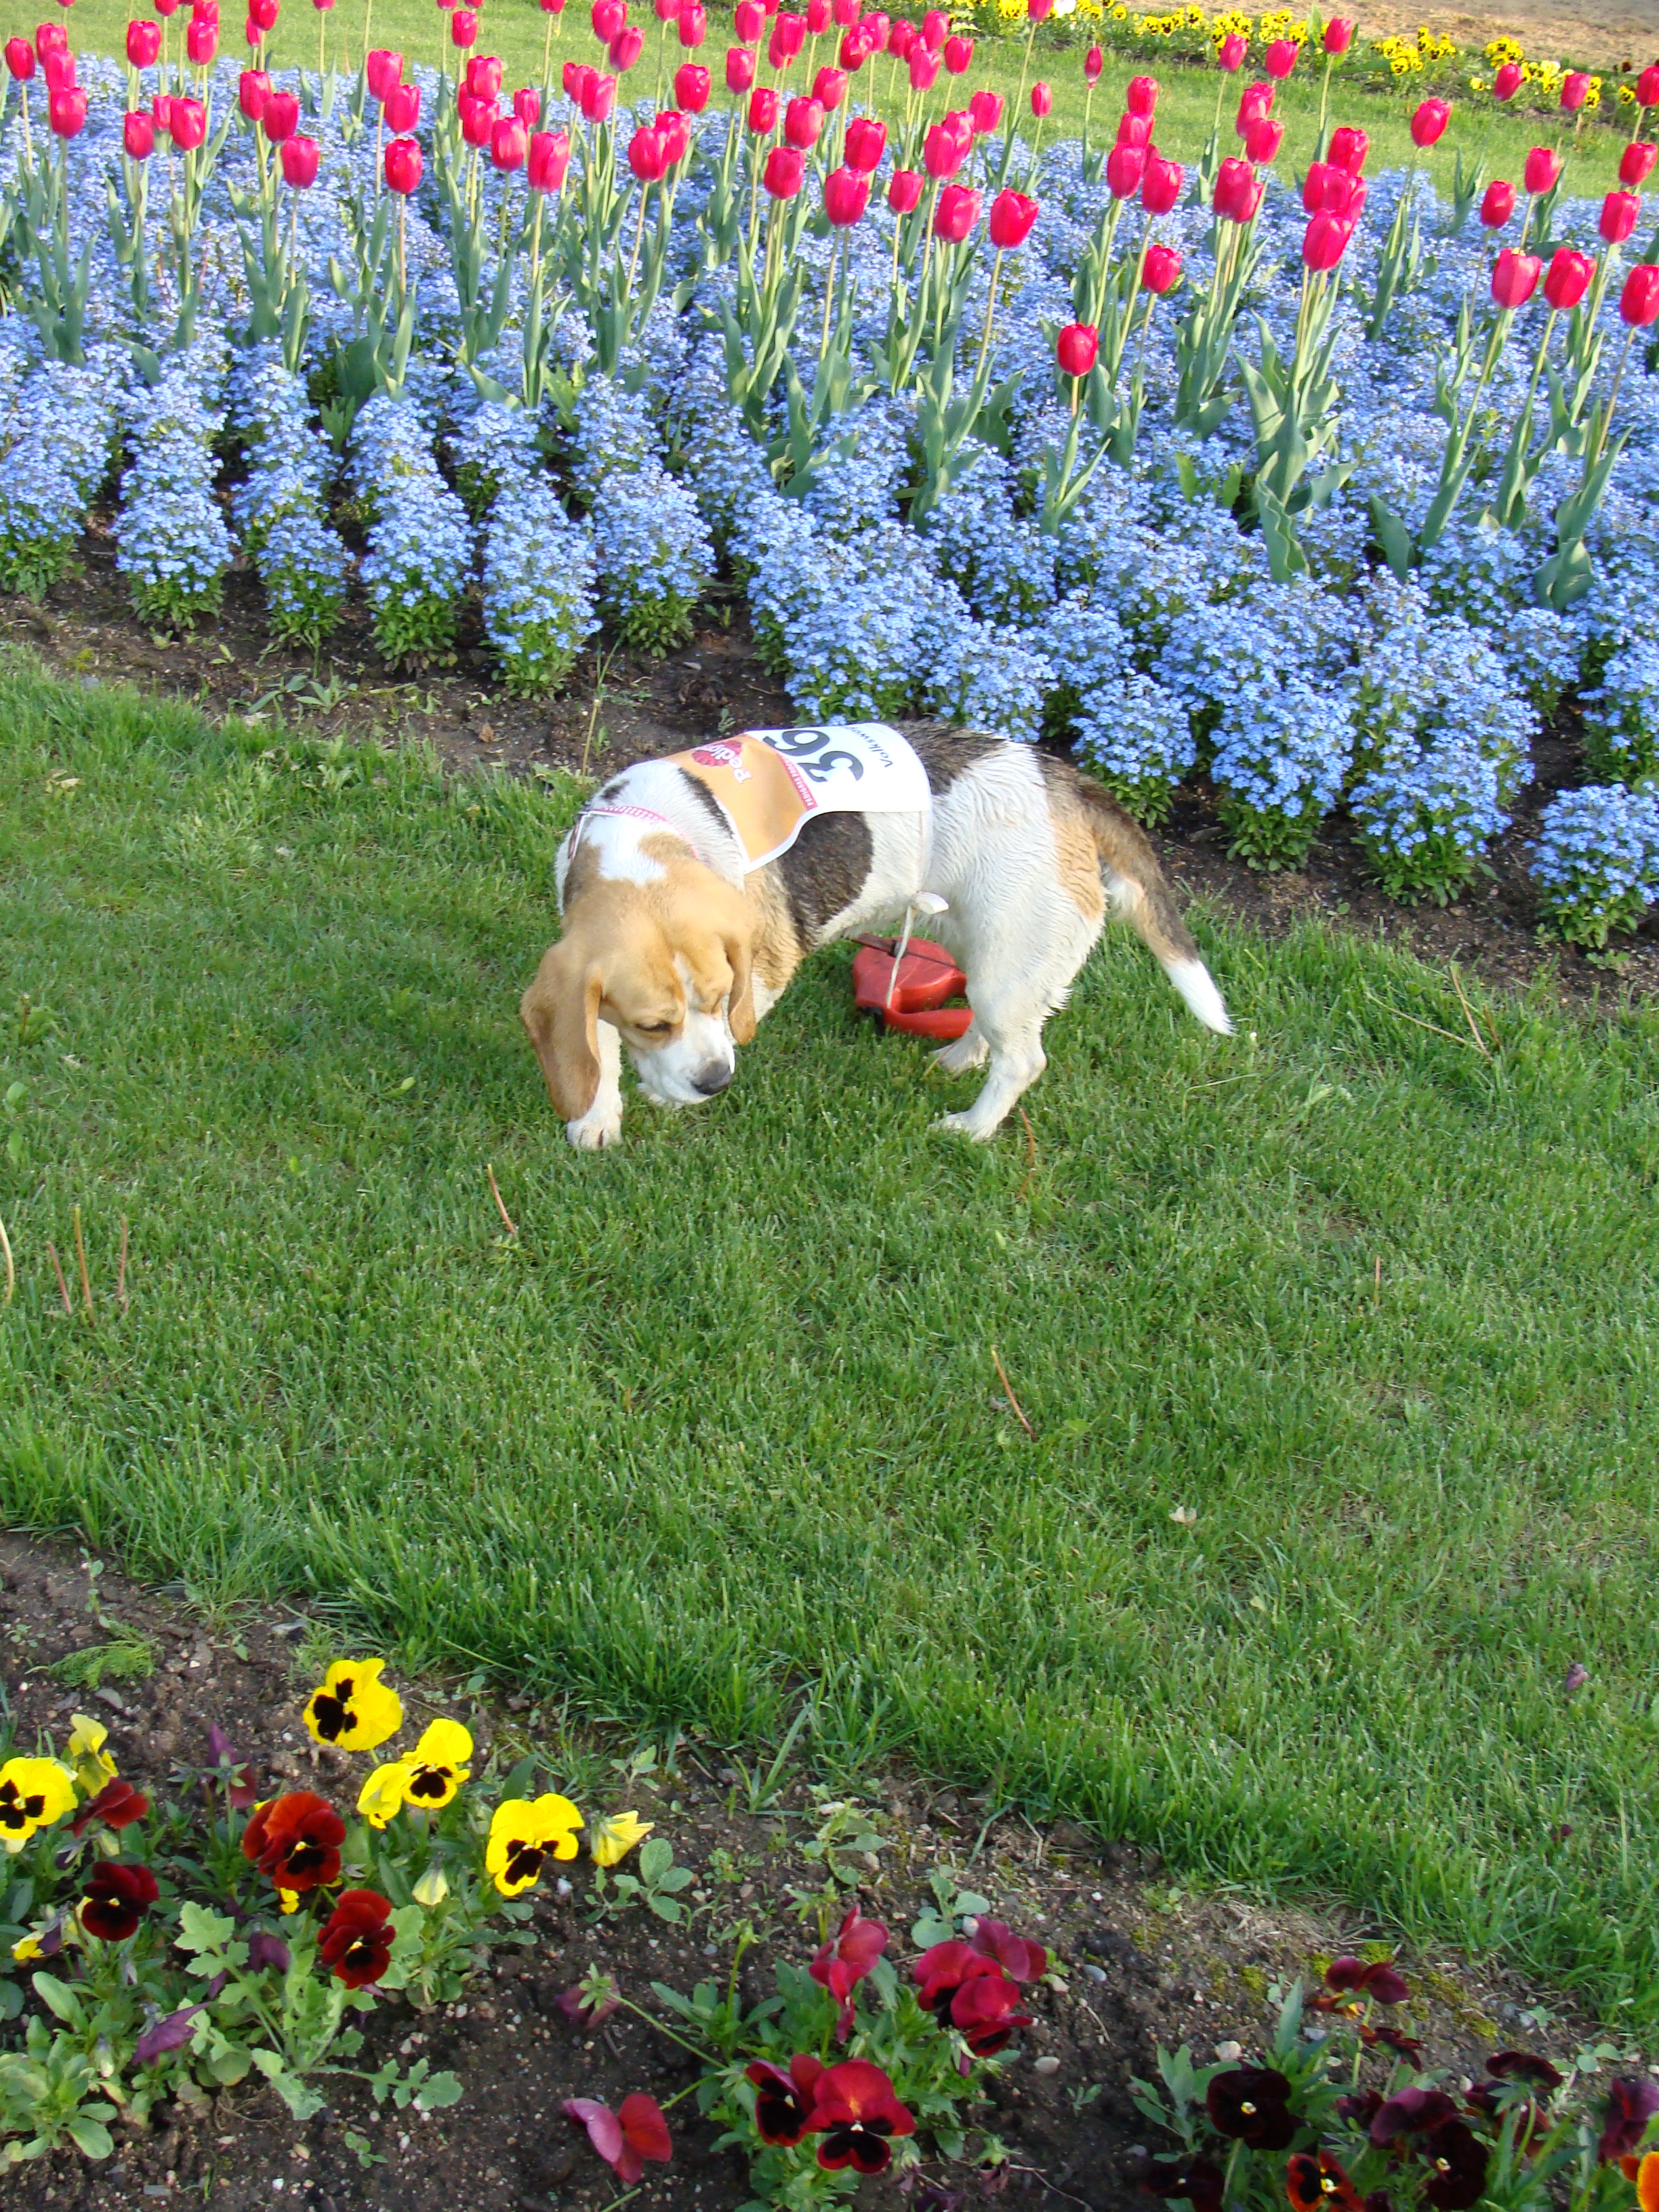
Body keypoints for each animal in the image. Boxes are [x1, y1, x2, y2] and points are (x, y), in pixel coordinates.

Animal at [520, 721, 1238, 1159]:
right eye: (653, 1023)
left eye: (722, 999)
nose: (717, 1084)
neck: (653, 836)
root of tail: (1066, 784)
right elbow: (599, 1043)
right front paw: (596, 1116)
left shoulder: (761, 970)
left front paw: (656, 1098)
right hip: (985, 951)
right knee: (998, 1035)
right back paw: (958, 1060)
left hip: (1007, 961)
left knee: (1023, 1061)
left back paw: (973, 1128)